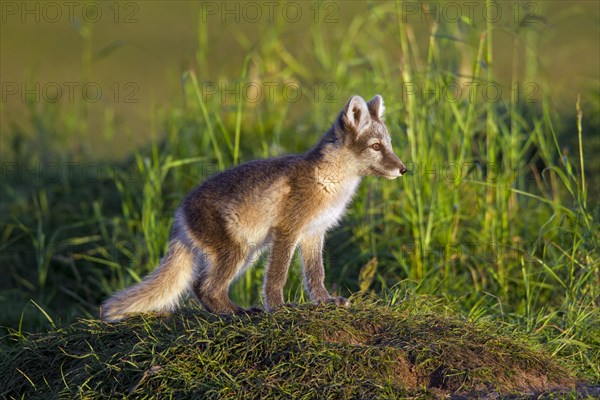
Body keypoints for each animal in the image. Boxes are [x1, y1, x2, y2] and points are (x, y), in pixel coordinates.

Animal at [102, 94, 408, 322]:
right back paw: (239, 313)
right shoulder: (287, 231)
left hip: (247, 251)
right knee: (206, 287)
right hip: (237, 251)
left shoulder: (314, 233)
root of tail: (179, 214)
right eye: (376, 147)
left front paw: (325, 302)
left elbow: (315, 275)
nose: (404, 169)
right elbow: (277, 276)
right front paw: (279, 308)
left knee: (200, 287)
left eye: (389, 145)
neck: (331, 182)